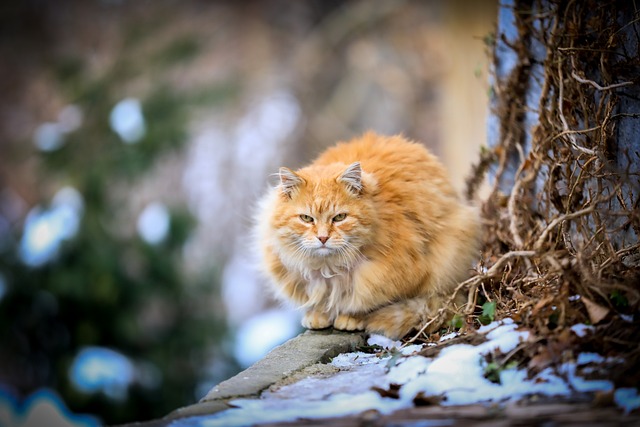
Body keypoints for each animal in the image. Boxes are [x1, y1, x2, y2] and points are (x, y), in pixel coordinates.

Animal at [255, 132, 480, 340]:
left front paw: (351, 318)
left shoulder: (397, 275)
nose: (323, 238)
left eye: (339, 217)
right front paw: (319, 314)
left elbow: (367, 303)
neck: (329, 268)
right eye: (306, 218)